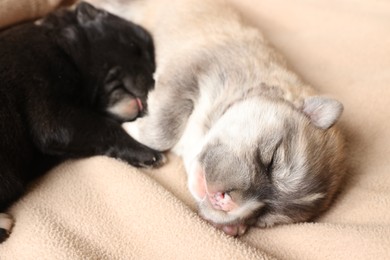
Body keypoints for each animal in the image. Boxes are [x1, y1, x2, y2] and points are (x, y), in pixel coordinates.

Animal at [0, 2, 165, 243]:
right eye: (134, 46)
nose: (155, 84)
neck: (61, 44)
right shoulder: (53, 116)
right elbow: (104, 127)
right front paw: (148, 153)